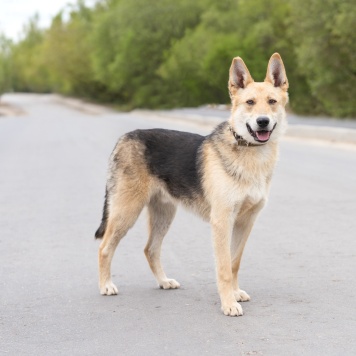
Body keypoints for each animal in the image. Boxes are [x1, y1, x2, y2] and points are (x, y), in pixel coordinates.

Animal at [95, 51, 290, 316]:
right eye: (250, 102)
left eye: (272, 101)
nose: (262, 122)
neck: (249, 153)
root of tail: (124, 138)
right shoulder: (222, 222)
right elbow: (223, 268)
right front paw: (229, 303)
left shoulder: (245, 222)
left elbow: (234, 263)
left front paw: (235, 293)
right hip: (126, 213)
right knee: (105, 248)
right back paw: (106, 285)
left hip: (164, 215)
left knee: (150, 249)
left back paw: (163, 281)